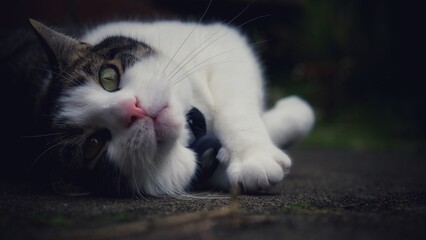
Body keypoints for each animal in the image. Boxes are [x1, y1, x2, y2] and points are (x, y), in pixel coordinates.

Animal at [24, 19, 316, 197]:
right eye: (93, 145)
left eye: (108, 77)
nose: (133, 109)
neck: (194, 127)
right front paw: (255, 162)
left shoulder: (221, 44)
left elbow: (235, 108)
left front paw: (257, 152)